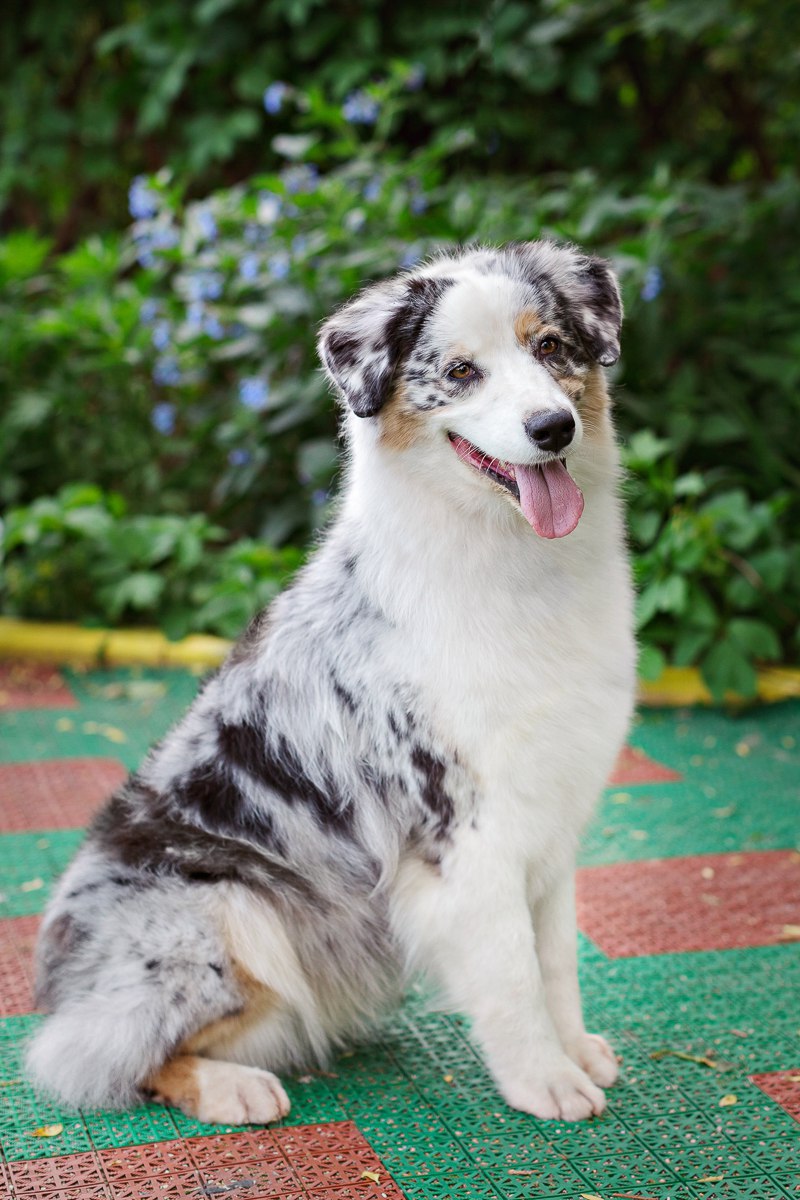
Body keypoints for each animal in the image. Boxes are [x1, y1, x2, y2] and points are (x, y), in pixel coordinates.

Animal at [26, 241, 638, 1123]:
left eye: (550, 347)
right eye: (461, 371)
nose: (552, 427)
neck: (512, 563)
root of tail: (58, 985)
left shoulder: (550, 813)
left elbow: (554, 958)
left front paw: (576, 1052)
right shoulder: (461, 830)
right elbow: (513, 971)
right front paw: (545, 1080)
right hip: (226, 908)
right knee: (100, 1053)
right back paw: (234, 1088)